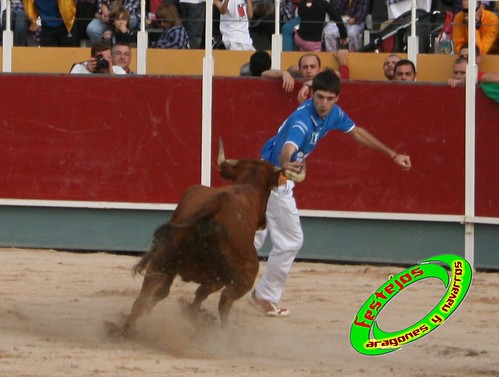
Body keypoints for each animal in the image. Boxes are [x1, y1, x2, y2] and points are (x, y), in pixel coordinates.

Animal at [118, 138, 304, 332]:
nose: (263, 223)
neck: (246, 188)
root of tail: (212, 209)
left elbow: (195, 294)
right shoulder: (221, 278)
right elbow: (205, 294)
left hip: (161, 261)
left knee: (147, 296)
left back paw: (124, 330)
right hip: (243, 274)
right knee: (225, 301)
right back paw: (221, 332)